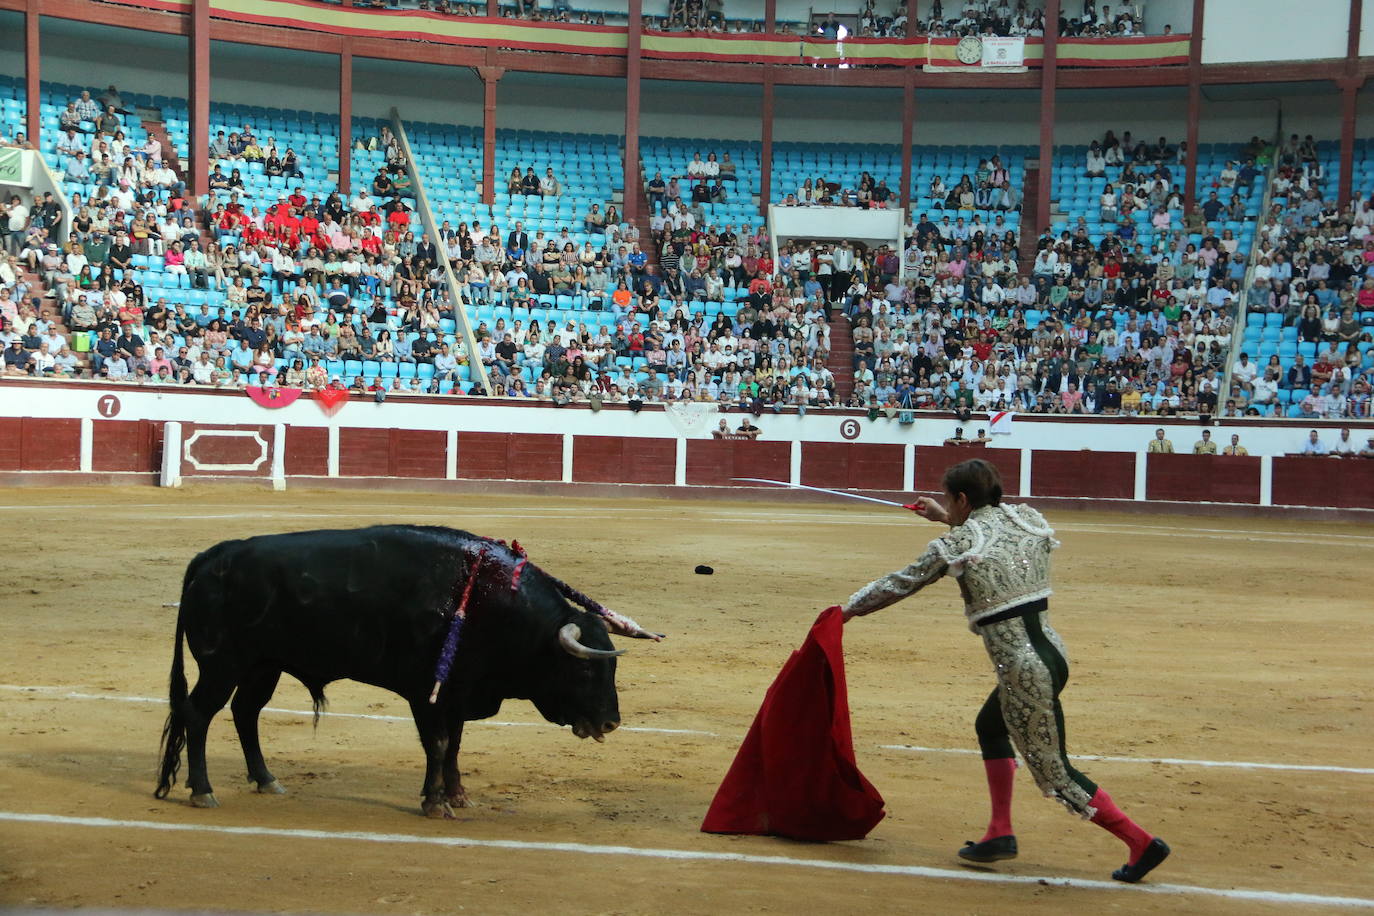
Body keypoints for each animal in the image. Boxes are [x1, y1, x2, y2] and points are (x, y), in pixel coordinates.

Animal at [155, 527, 637, 818]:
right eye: (584, 671)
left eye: (612, 665)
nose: (611, 723)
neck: (490, 603)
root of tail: (213, 556)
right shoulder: (427, 693)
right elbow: (438, 744)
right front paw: (435, 802)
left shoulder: (458, 693)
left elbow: (455, 744)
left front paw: (457, 795)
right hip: (222, 664)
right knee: (199, 714)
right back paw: (202, 791)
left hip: (263, 666)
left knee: (245, 713)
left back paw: (267, 780)